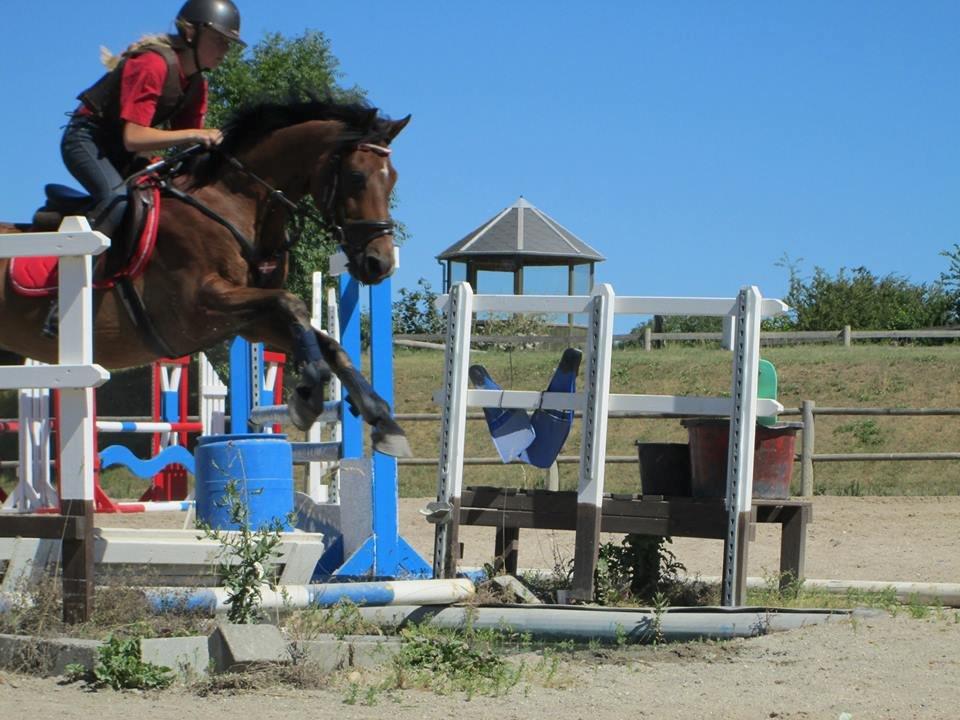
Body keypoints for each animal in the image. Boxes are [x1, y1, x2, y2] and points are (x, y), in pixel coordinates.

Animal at [0, 99, 413, 456]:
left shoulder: (249, 322)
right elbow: (291, 303)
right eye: (356, 177)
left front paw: (382, 420)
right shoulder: (198, 306)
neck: (234, 204)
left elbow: (328, 343)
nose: (379, 263)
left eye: (393, 178)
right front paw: (309, 390)